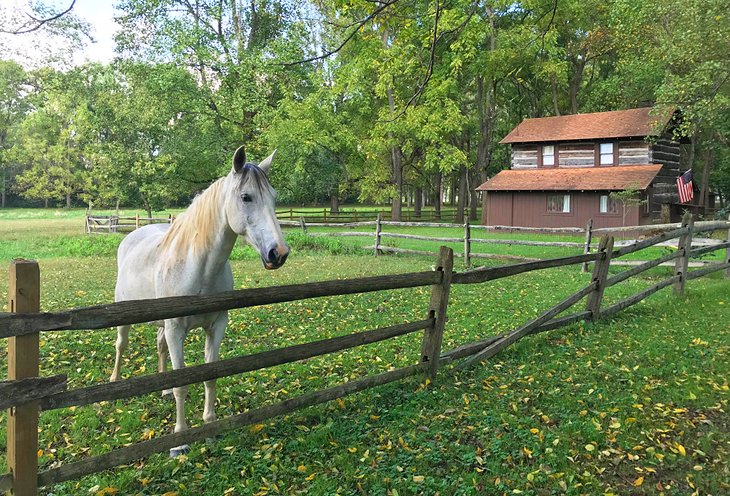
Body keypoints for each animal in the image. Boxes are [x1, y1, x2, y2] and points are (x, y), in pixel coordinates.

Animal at [111, 145, 288, 456]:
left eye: (274, 197)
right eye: (246, 197)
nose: (278, 253)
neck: (200, 268)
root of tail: (131, 236)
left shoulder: (216, 327)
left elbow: (209, 376)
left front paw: (210, 430)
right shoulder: (176, 330)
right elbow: (182, 384)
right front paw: (180, 440)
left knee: (159, 346)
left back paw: (163, 390)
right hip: (126, 317)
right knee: (121, 345)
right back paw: (115, 382)